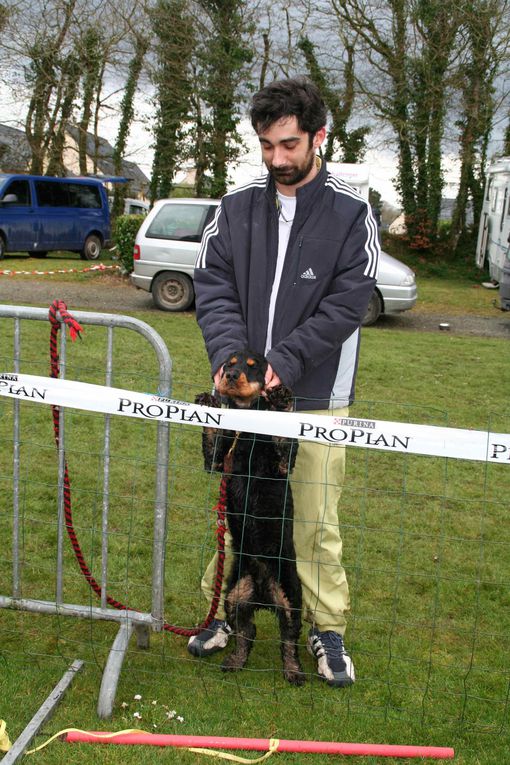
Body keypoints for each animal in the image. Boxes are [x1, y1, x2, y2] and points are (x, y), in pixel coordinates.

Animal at [197, 350, 304, 684]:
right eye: (229, 364)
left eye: (253, 367)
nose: (230, 377)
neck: (248, 429)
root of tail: (261, 594)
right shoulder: (218, 462)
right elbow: (212, 440)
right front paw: (208, 402)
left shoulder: (281, 466)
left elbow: (285, 442)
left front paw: (281, 398)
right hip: (234, 596)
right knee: (248, 631)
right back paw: (235, 661)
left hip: (290, 596)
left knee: (289, 638)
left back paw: (294, 672)